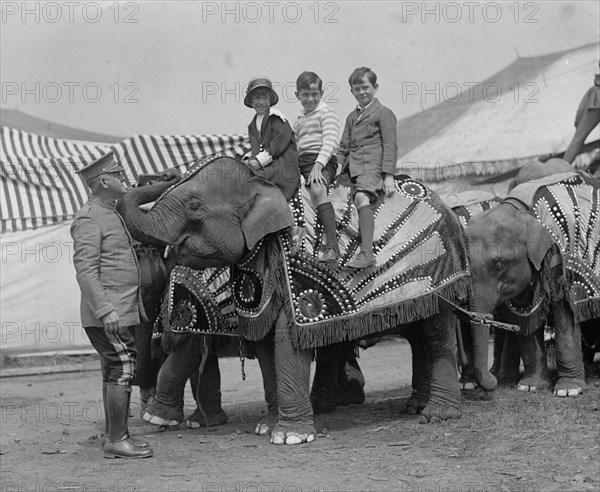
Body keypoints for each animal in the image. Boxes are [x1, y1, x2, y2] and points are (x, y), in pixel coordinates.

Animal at [116, 156, 468, 444]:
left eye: (194, 206)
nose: (164, 174)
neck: (261, 182)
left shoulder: (295, 273)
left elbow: (285, 337)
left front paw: (290, 437)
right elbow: (262, 341)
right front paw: (267, 429)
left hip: (439, 271)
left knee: (435, 334)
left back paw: (436, 415)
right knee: (417, 334)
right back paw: (410, 406)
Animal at [454, 172, 600, 396]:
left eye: (498, 263)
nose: (491, 383)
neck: (518, 210)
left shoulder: (559, 253)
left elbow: (563, 306)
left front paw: (568, 391)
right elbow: (526, 315)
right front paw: (530, 387)